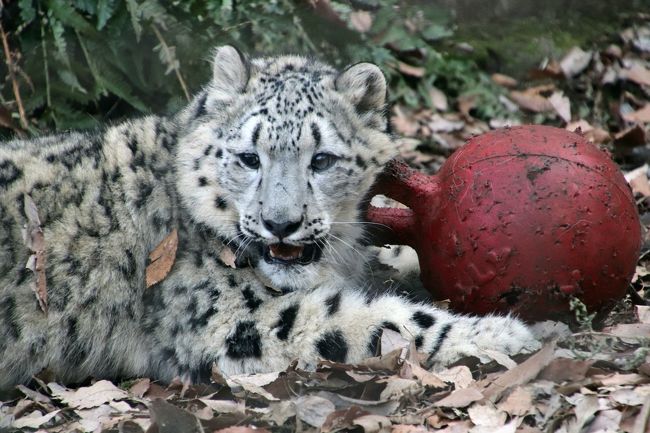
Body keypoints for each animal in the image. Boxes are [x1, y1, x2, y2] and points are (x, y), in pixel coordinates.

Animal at [0, 46, 536, 388]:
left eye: (322, 160)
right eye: (248, 158)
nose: (281, 223)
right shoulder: (230, 320)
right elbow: (376, 318)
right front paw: (498, 332)